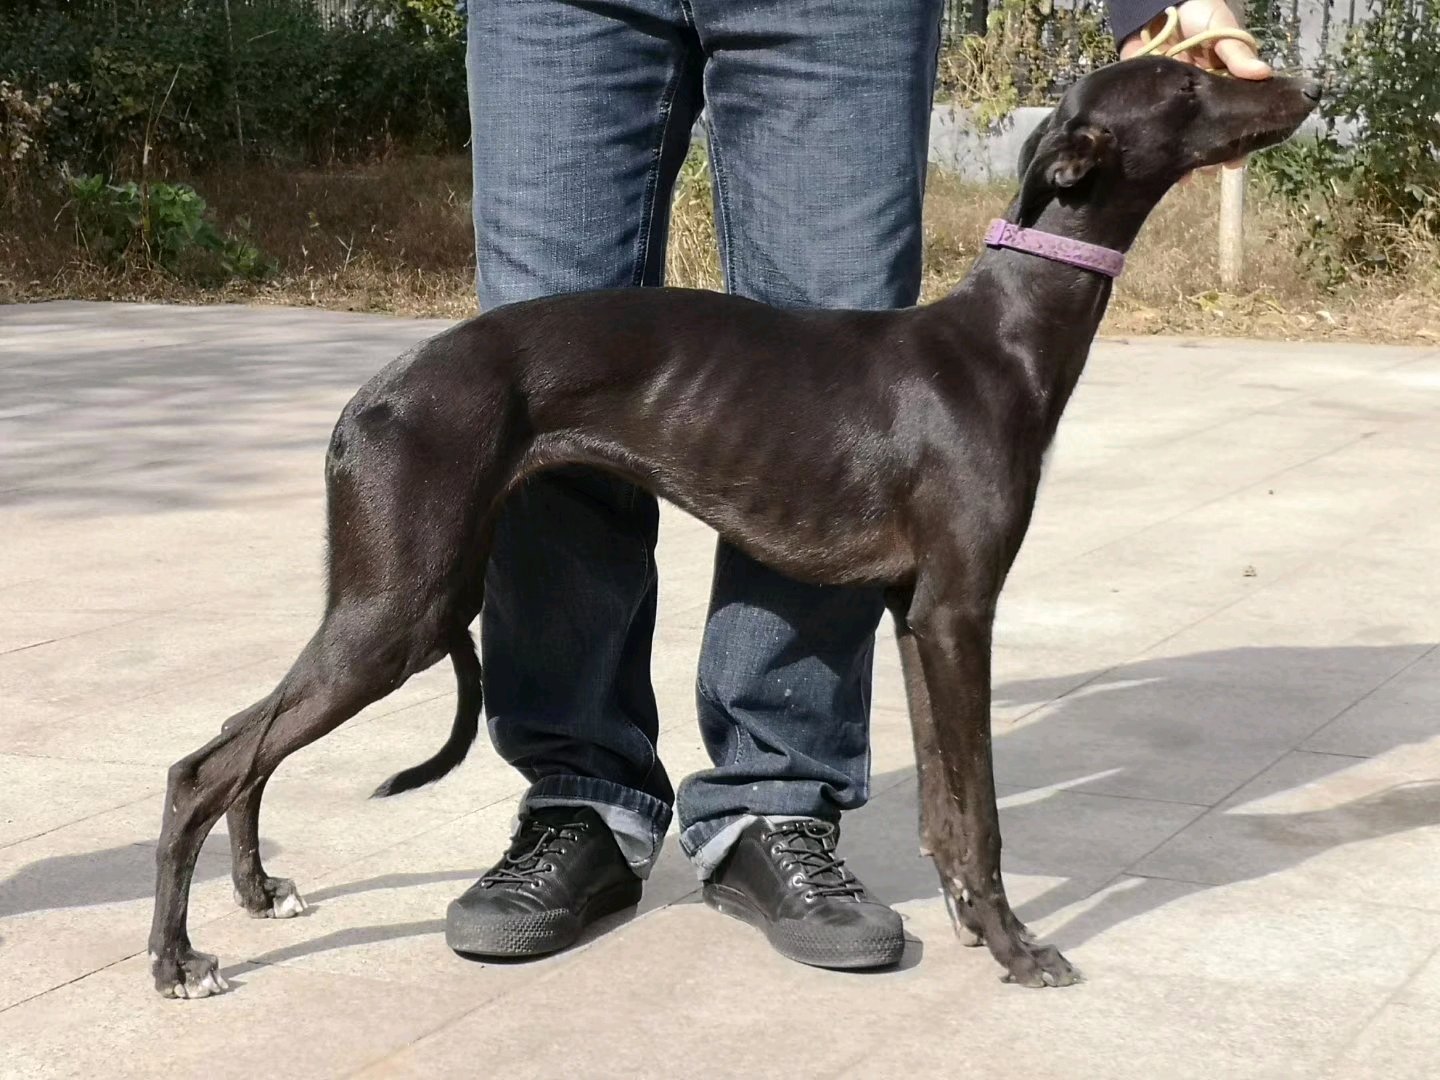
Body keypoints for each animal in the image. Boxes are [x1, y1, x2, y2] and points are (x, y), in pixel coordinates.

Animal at [148, 57, 1319, 998]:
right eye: (1185, 87)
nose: (1309, 89)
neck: (1004, 336)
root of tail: (371, 396)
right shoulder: (961, 612)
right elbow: (981, 811)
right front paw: (1019, 949)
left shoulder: (917, 616)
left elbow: (947, 812)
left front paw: (969, 927)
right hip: (399, 607)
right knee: (203, 768)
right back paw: (176, 960)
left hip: (387, 604)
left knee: (241, 743)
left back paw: (258, 891)